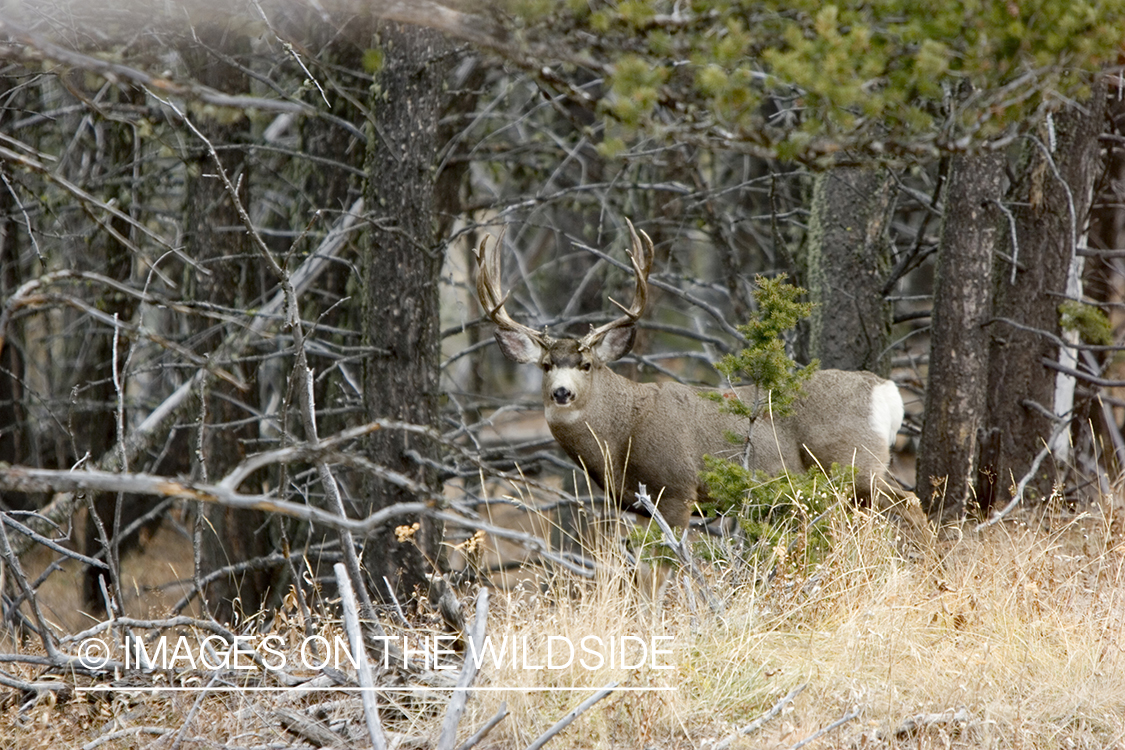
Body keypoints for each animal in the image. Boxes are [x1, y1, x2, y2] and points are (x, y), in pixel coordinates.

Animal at [475, 220, 908, 531]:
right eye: (546, 366)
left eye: (587, 365)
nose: (562, 393)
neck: (621, 434)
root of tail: (886, 390)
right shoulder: (640, 506)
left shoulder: (676, 489)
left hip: (854, 461)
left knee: (909, 504)